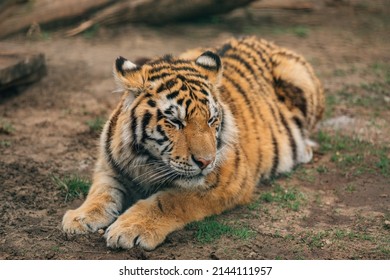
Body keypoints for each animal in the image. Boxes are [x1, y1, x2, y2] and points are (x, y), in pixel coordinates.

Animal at [61, 36, 322, 250]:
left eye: (211, 120)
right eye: (175, 121)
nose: (206, 162)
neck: (147, 162)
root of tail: (262, 39)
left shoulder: (230, 180)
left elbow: (169, 200)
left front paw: (129, 229)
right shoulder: (109, 166)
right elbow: (100, 192)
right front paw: (79, 217)